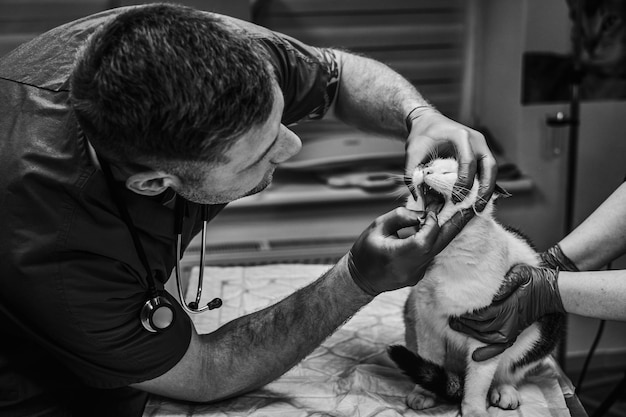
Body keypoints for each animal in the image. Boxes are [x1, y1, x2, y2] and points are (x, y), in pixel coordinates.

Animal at [388, 158, 564, 416]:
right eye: (427, 164)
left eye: (448, 172)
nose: (425, 170)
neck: (449, 254)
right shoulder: (427, 324)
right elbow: (430, 360)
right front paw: (424, 393)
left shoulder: (488, 338)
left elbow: (477, 385)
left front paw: (473, 410)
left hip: (544, 331)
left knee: (506, 373)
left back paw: (504, 391)